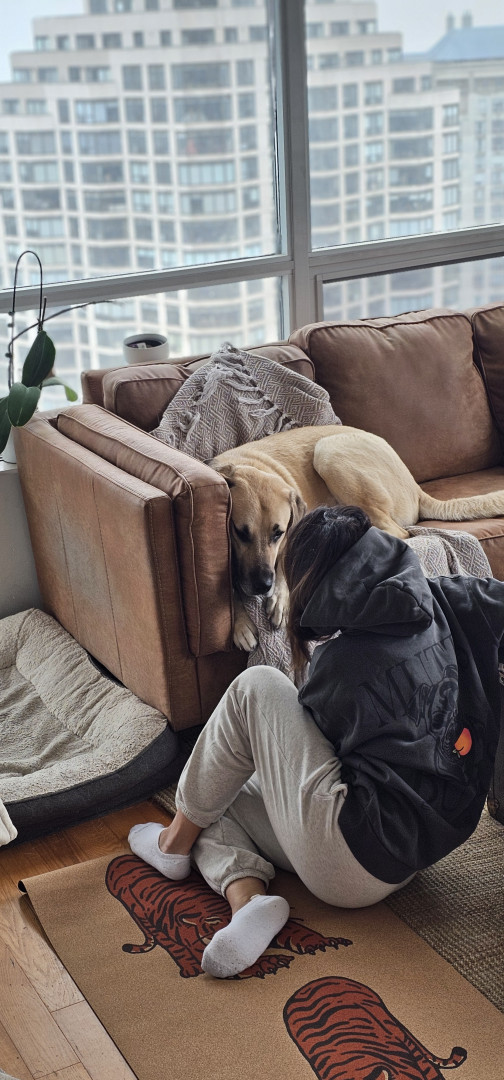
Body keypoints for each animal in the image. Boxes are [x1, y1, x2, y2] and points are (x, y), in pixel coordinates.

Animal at [211, 424, 504, 650]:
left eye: (278, 533)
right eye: (239, 532)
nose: (262, 585)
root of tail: (415, 486)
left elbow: (281, 565)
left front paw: (280, 600)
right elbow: (229, 583)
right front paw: (240, 623)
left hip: (329, 452)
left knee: (397, 532)